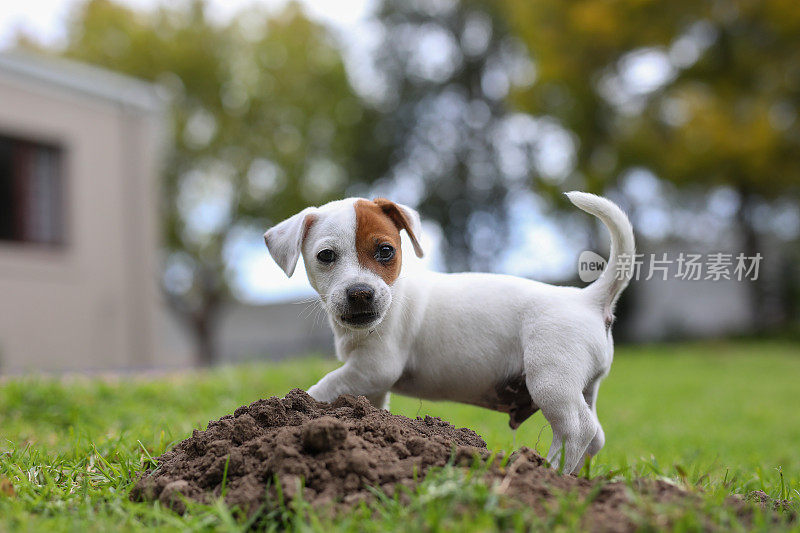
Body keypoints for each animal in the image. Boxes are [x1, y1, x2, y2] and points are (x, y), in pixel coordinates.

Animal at [266, 192, 636, 474]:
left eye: (385, 251)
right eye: (326, 256)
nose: (360, 293)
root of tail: (589, 299)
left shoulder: (374, 367)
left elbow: (323, 387)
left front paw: (292, 407)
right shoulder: (368, 380)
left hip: (551, 382)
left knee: (577, 430)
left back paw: (550, 472)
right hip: (583, 387)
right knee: (596, 435)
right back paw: (575, 478)